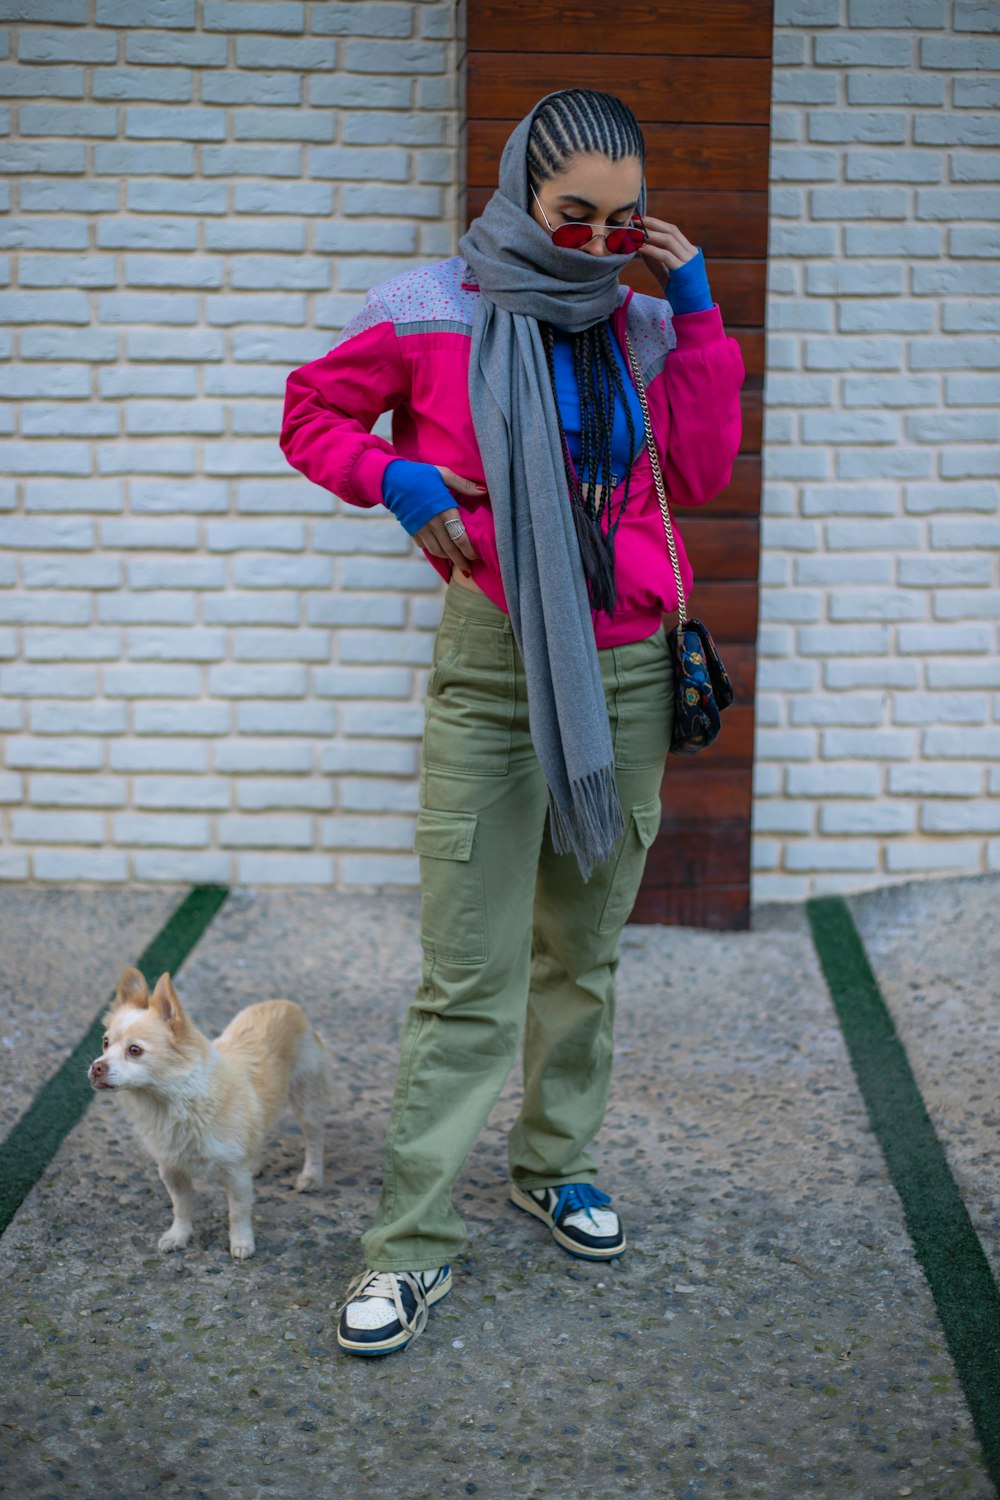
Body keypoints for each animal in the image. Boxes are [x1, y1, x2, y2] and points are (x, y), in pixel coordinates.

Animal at [88, 966, 329, 1260]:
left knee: (314, 1138)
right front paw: (178, 1236)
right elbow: (181, 1207)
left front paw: (242, 1242)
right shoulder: (172, 1170)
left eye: (135, 1050)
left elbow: (238, 1211)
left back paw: (311, 1176)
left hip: (307, 1098)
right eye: (105, 1043)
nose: (96, 1067)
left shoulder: (235, 1175)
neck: (169, 1102)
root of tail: (285, 1004)